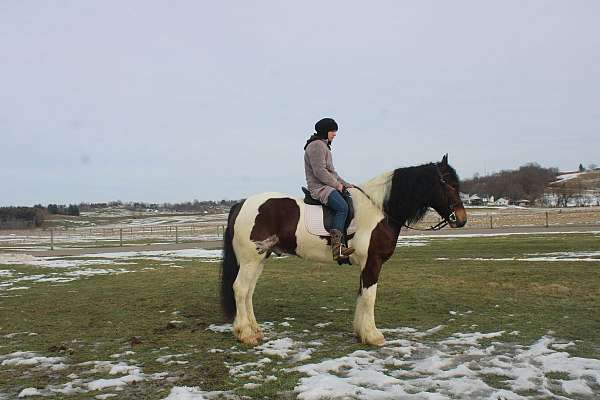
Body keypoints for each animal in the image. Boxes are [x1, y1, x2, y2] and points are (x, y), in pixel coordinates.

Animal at [221, 155, 468, 346]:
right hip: (251, 259)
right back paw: (245, 334)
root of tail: (241, 204)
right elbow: (369, 296)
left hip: (260, 258)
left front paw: (361, 332)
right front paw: (373, 336)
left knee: (249, 292)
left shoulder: (367, 265)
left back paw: (255, 330)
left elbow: (361, 295)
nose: (461, 219)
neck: (379, 210)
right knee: (240, 289)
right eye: (449, 184)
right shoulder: (373, 262)